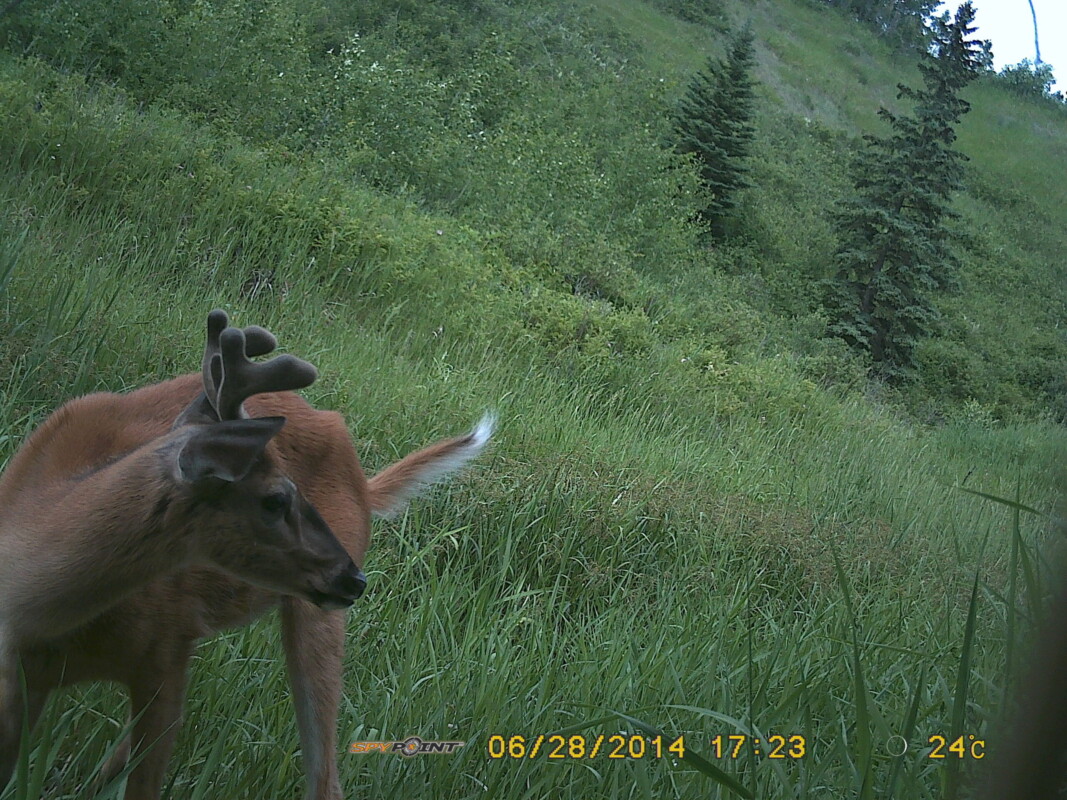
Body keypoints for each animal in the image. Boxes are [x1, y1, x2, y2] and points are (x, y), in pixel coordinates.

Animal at [0, 311, 490, 800]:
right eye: (275, 500)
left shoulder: (163, 654)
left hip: (316, 614)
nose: (354, 578)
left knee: (325, 775)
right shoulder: (21, 681)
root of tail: (363, 480)